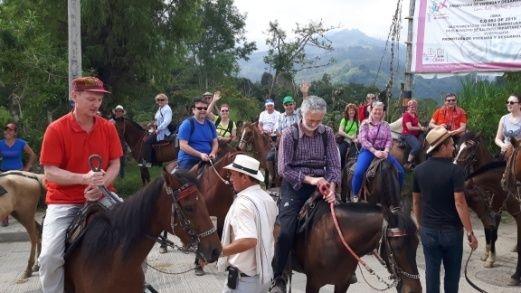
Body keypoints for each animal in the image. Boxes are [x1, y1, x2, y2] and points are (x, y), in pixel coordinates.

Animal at [292, 160, 422, 292]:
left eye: (417, 243)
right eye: (397, 247)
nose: (415, 289)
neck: (335, 239)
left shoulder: (343, 283)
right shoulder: (313, 283)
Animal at [450, 131, 520, 284]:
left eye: (470, 148)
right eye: (457, 147)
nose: (455, 166)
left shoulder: (496, 212)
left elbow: (493, 232)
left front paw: (491, 259)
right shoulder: (488, 209)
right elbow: (488, 230)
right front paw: (487, 254)